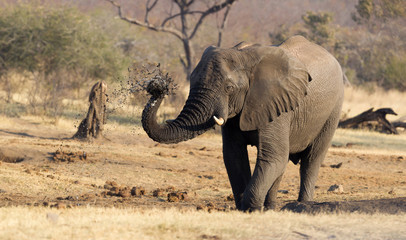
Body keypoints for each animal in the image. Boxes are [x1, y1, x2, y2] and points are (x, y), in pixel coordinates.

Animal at [141, 34, 344, 211]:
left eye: (229, 88)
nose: (157, 86)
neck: (244, 55)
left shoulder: (276, 106)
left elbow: (271, 156)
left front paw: (251, 209)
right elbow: (234, 155)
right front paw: (246, 208)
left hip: (333, 111)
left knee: (311, 160)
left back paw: (302, 205)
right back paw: (270, 208)